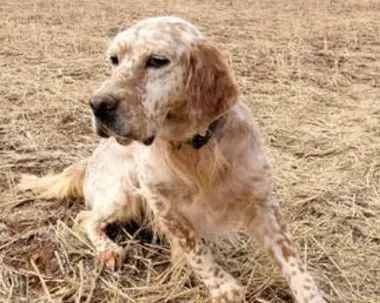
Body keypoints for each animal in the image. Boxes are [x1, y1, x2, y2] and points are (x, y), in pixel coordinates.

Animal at [19, 17, 326, 303]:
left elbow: (293, 261)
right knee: (86, 219)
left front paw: (311, 294)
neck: (195, 148)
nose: (98, 105)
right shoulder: (162, 203)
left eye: (157, 61)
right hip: (122, 194)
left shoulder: (262, 201)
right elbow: (195, 248)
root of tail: (89, 160)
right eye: (114, 59)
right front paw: (222, 286)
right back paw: (110, 250)